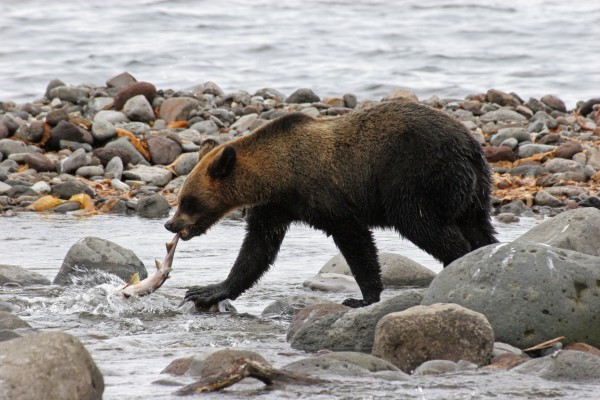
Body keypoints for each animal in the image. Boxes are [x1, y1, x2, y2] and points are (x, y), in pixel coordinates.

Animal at [164, 101, 496, 308]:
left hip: (416, 177)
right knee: (480, 229)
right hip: (474, 192)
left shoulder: (326, 197)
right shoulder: (275, 207)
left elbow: (355, 241)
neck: (278, 175)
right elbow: (257, 250)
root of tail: (469, 145)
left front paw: (363, 297)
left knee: (423, 224)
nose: (170, 223)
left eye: (187, 200)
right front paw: (207, 291)